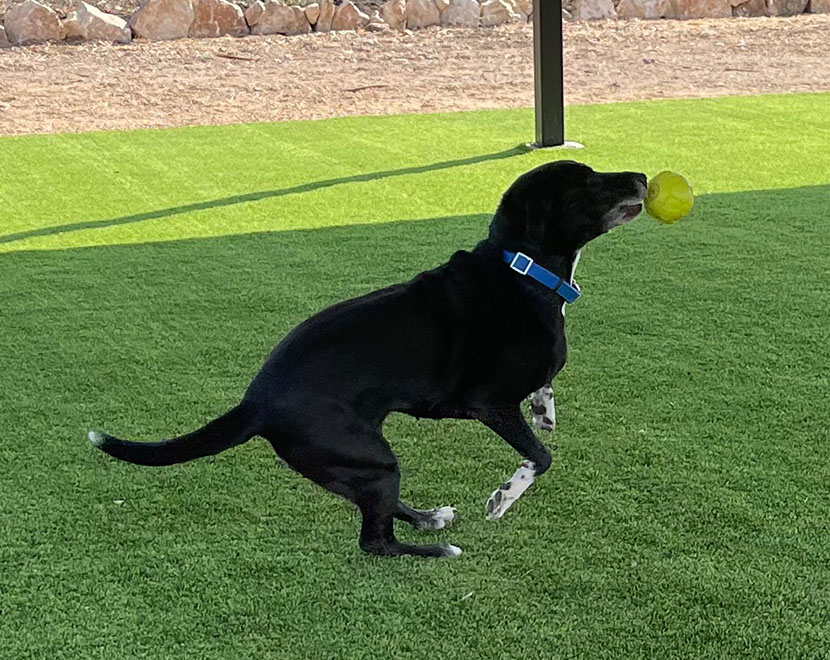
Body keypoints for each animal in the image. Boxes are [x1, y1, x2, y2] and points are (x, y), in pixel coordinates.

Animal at [91, 159, 648, 556]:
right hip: (369, 457)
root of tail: (255, 403)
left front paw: (544, 410)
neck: (522, 268)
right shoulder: (487, 404)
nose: (644, 176)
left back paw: (429, 518)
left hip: (357, 463)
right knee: (374, 543)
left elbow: (544, 403)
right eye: (588, 182)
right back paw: (438, 549)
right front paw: (503, 497)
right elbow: (541, 456)